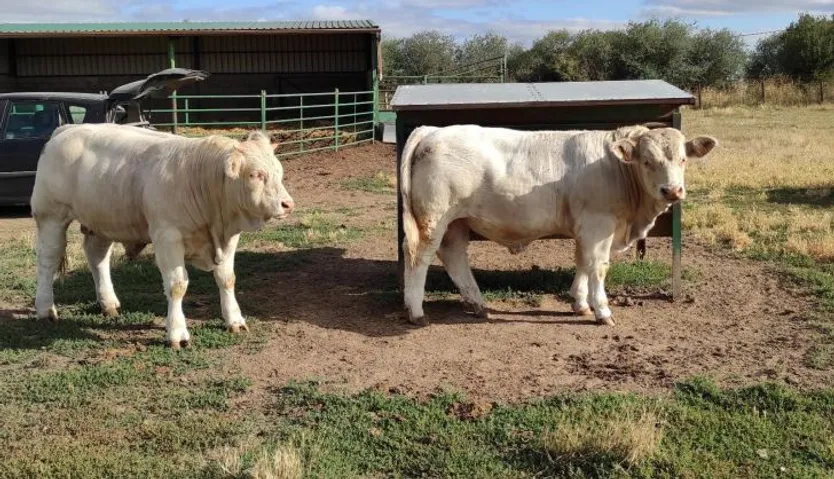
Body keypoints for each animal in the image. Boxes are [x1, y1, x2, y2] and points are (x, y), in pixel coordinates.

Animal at [30, 123, 295, 348]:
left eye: (279, 172)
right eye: (255, 175)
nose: (287, 204)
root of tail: (67, 129)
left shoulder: (229, 239)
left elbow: (227, 278)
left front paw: (235, 320)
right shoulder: (167, 238)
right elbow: (177, 286)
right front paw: (177, 333)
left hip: (102, 219)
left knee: (97, 258)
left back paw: (108, 303)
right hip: (51, 216)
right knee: (48, 261)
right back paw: (46, 309)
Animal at [399, 124, 717, 326]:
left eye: (684, 159)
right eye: (647, 161)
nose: (672, 191)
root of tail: (431, 130)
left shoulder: (586, 230)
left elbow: (582, 262)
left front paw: (580, 304)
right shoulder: (599, 226)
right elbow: (598, 267)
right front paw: (602, 311)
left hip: (456, 222)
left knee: (454, 256)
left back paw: (478, 304)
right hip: (434, 218)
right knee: (419, 257)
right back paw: (416, 312)